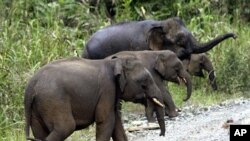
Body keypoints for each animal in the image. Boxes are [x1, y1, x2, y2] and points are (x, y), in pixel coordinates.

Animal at [24, 56, 166, 140]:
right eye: (144, 82)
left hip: (37, 107)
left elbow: (117, 124)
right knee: (65, 127)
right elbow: (106, 120)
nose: (161, 134)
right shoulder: (107, 89)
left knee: (40, 132)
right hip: (54, 100)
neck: (115, 62)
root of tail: (31, 85)